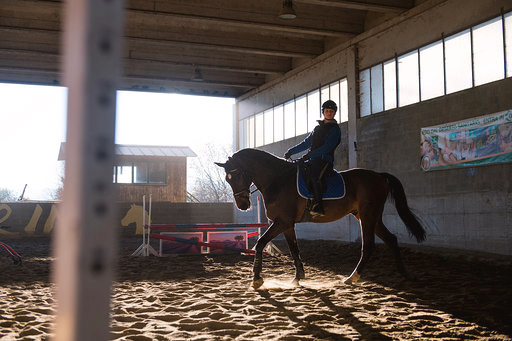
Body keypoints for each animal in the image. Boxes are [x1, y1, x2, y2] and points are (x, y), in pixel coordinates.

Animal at [214, 147, 426, 288]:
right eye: (227, 179)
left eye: (238, 175)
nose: (243, 205)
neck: (278, 180)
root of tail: (379, 176)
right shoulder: (287, 224)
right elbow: (294, 249)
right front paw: (298, 277)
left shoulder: (282, 222)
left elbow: (260, 243)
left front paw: (257, 279)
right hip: (370, 217)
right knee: (391, 239)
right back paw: (404, 273)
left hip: (368, 216)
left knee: (369, 246)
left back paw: (352, 277)